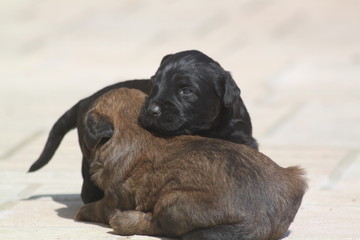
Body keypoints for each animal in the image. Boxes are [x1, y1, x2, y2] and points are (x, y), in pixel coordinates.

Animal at [75, 88, 306, 240]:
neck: (133, 129)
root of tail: (260, 222)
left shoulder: (114, 198)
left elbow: (98, 207)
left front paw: (83, 212)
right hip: (295, 175)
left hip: (173, 200)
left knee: (158, 225)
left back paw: (125, 221)